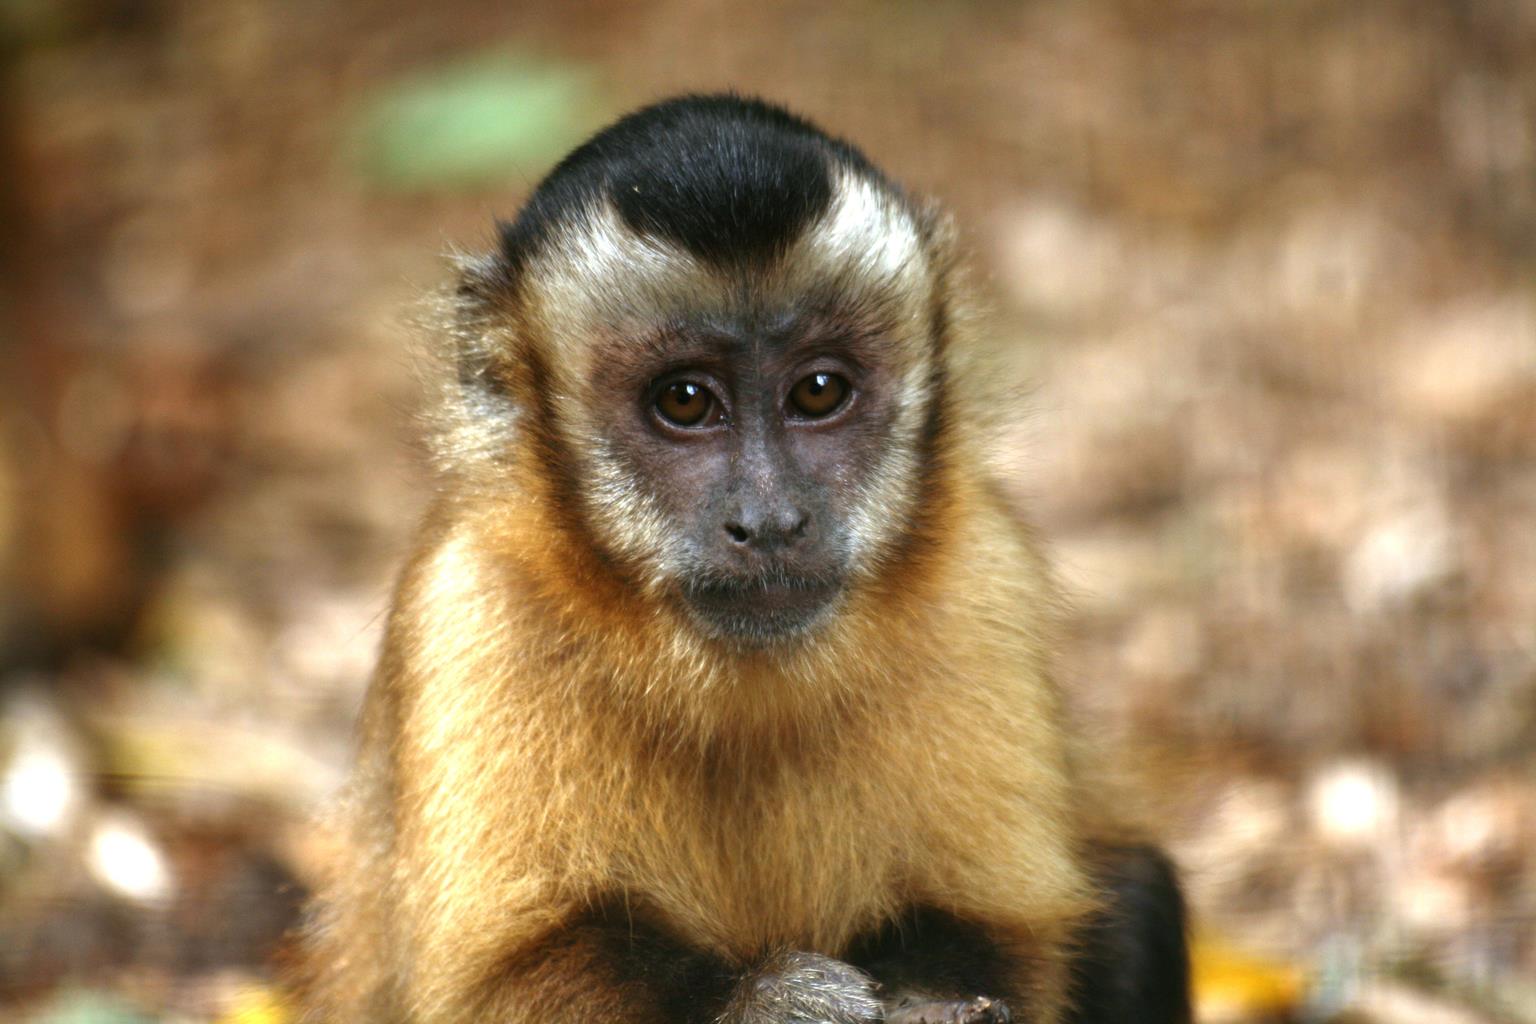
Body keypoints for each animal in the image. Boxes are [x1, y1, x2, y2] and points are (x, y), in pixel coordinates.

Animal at [300, 94, 1191, 1024]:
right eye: (686, 401)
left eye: (818, 392)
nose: (768, 522)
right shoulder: (470, 611)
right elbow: (506, 980)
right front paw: (775, 1003)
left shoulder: (985, 579)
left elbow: (1008, 939)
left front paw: (930, 1002)